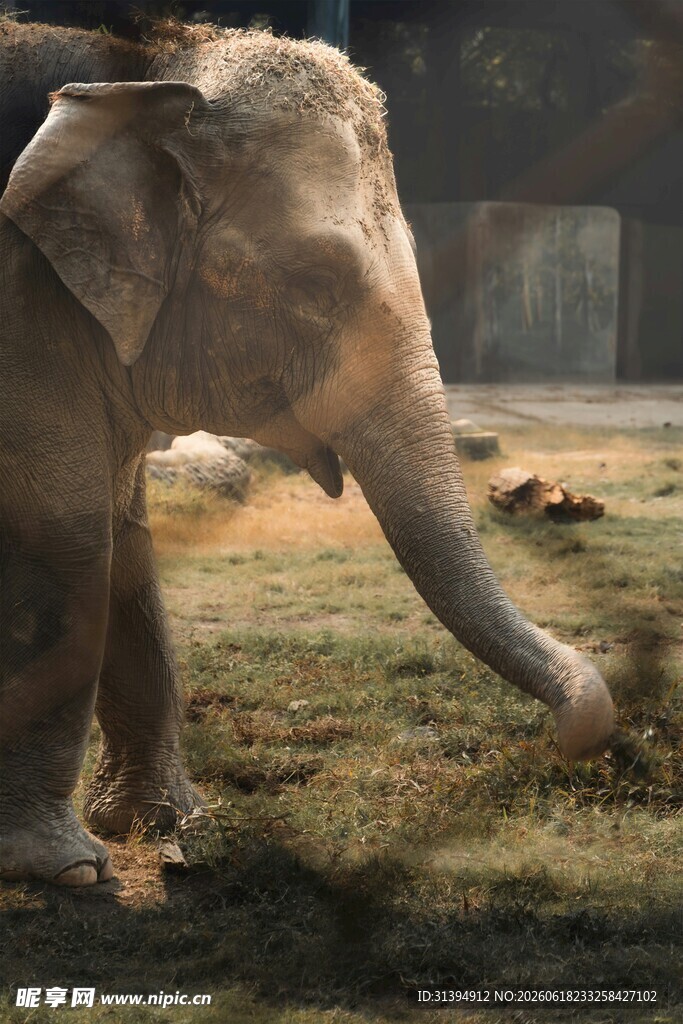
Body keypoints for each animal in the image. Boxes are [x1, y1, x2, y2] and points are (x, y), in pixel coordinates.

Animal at [0, 20, 614, 886]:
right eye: (316, 283)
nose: (570, 740)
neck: (141, 69)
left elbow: (125, 544)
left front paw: (166, 820)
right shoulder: (23, 315)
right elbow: (65, 535)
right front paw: (70, 870)